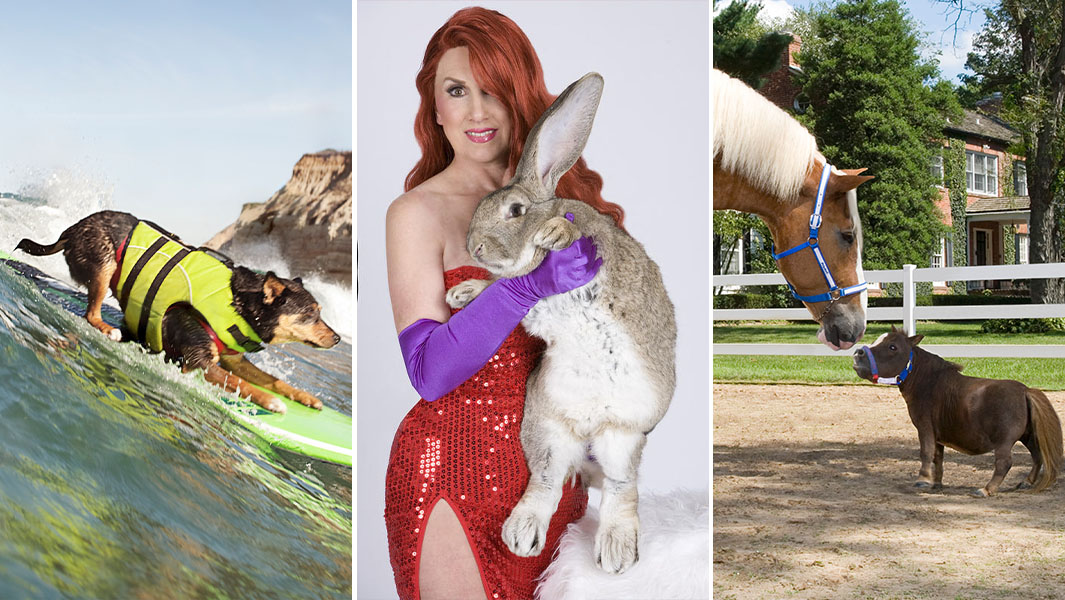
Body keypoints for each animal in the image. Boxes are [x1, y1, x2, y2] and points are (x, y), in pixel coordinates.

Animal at [14, 209, 338, 413]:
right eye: (311, 314)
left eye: (320, 312)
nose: (337, 339)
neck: (240, 303)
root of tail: (72, 228)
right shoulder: (200, 362)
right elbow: (241, 383)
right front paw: (271, 402)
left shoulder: (233, 358)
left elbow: (271, 379)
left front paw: (306, 397)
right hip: (103, 265)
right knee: (91, 315)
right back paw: (109, 329)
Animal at [852, 328, 1060, 498]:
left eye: (893, 346)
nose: (858, 354)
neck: (927, 382)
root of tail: (1025, 391)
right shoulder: (938, 435)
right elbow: (937, 457)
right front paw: (936, 483)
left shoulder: (925, 427)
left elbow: (926, 452)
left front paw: (923, 480)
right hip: (1028, 436)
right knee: (1037, 456)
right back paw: (1026, 482)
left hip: (1004, 441)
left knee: (1005, 463)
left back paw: (986, 489)